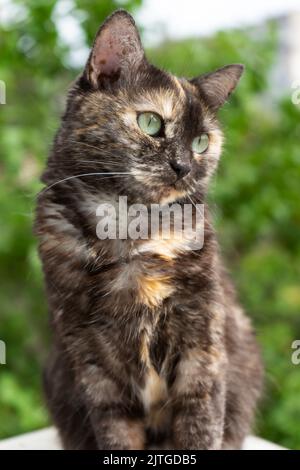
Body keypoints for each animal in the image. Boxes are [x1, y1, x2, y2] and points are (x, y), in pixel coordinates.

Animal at [35, 9, 262, 450]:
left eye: (201, 142)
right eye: (151, 122)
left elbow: (201, 419)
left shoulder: (202, 338)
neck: (131, 231)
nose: (184, 167)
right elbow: (115, 429)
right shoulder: (88, 353)